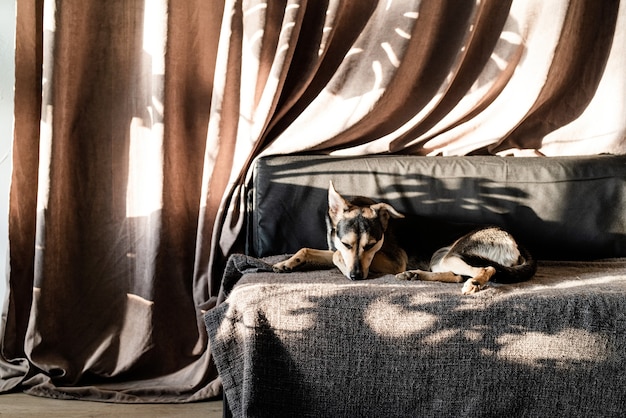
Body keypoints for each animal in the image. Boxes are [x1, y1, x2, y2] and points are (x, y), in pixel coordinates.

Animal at [272, 182, 536, 294]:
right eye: (348, 243)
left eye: (371, 245)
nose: (356, 277)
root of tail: (517, 241)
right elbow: (310, 250)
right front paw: (286, 263)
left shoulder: (392, 261)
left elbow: (337, 257)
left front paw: (343, 267)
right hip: (440, 257)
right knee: (455, 275)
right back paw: (414, 275)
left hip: (453, 253)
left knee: (485, 270)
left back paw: (475, 283)